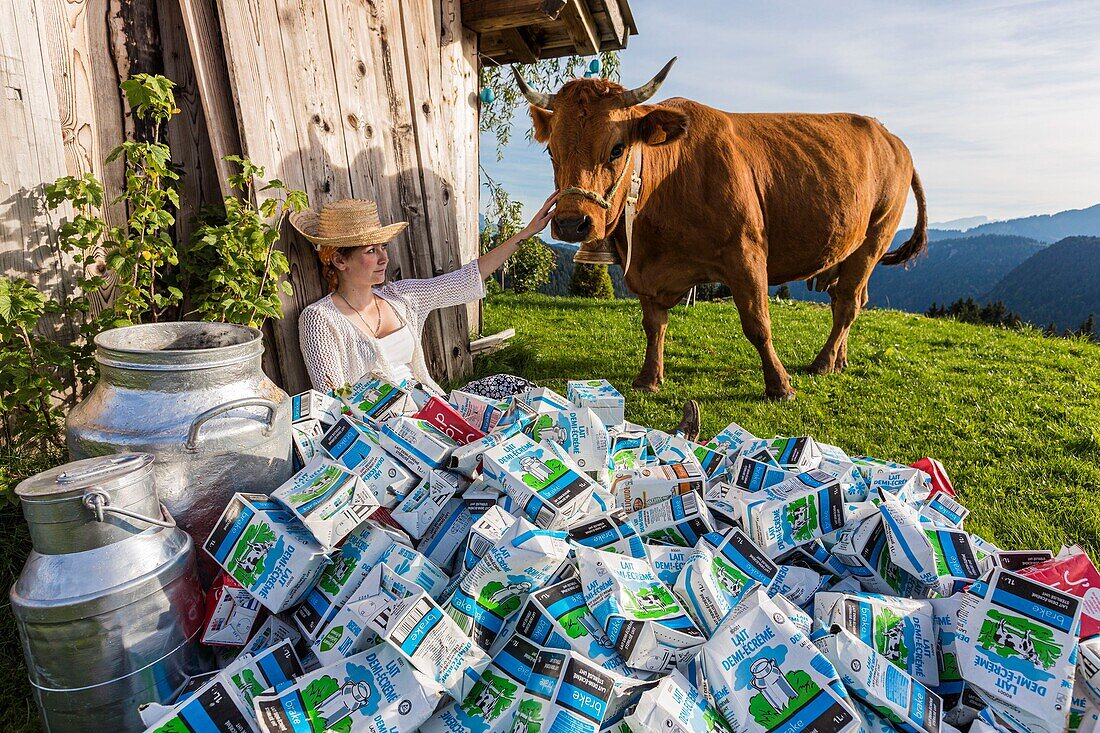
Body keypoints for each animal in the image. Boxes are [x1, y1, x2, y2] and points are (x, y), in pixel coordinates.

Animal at [510, 59, 924, 396]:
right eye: (552, 152)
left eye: (617, 148)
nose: (571, 223)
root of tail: (890, 136)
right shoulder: (645, 271)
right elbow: (653, 324)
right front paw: (649, 378)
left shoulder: (747, 252)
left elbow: (757, 324)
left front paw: (780, 386)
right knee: (849, 299)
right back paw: (839, 360)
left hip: (875, 236)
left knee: (848, 304)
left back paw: (822, 363)